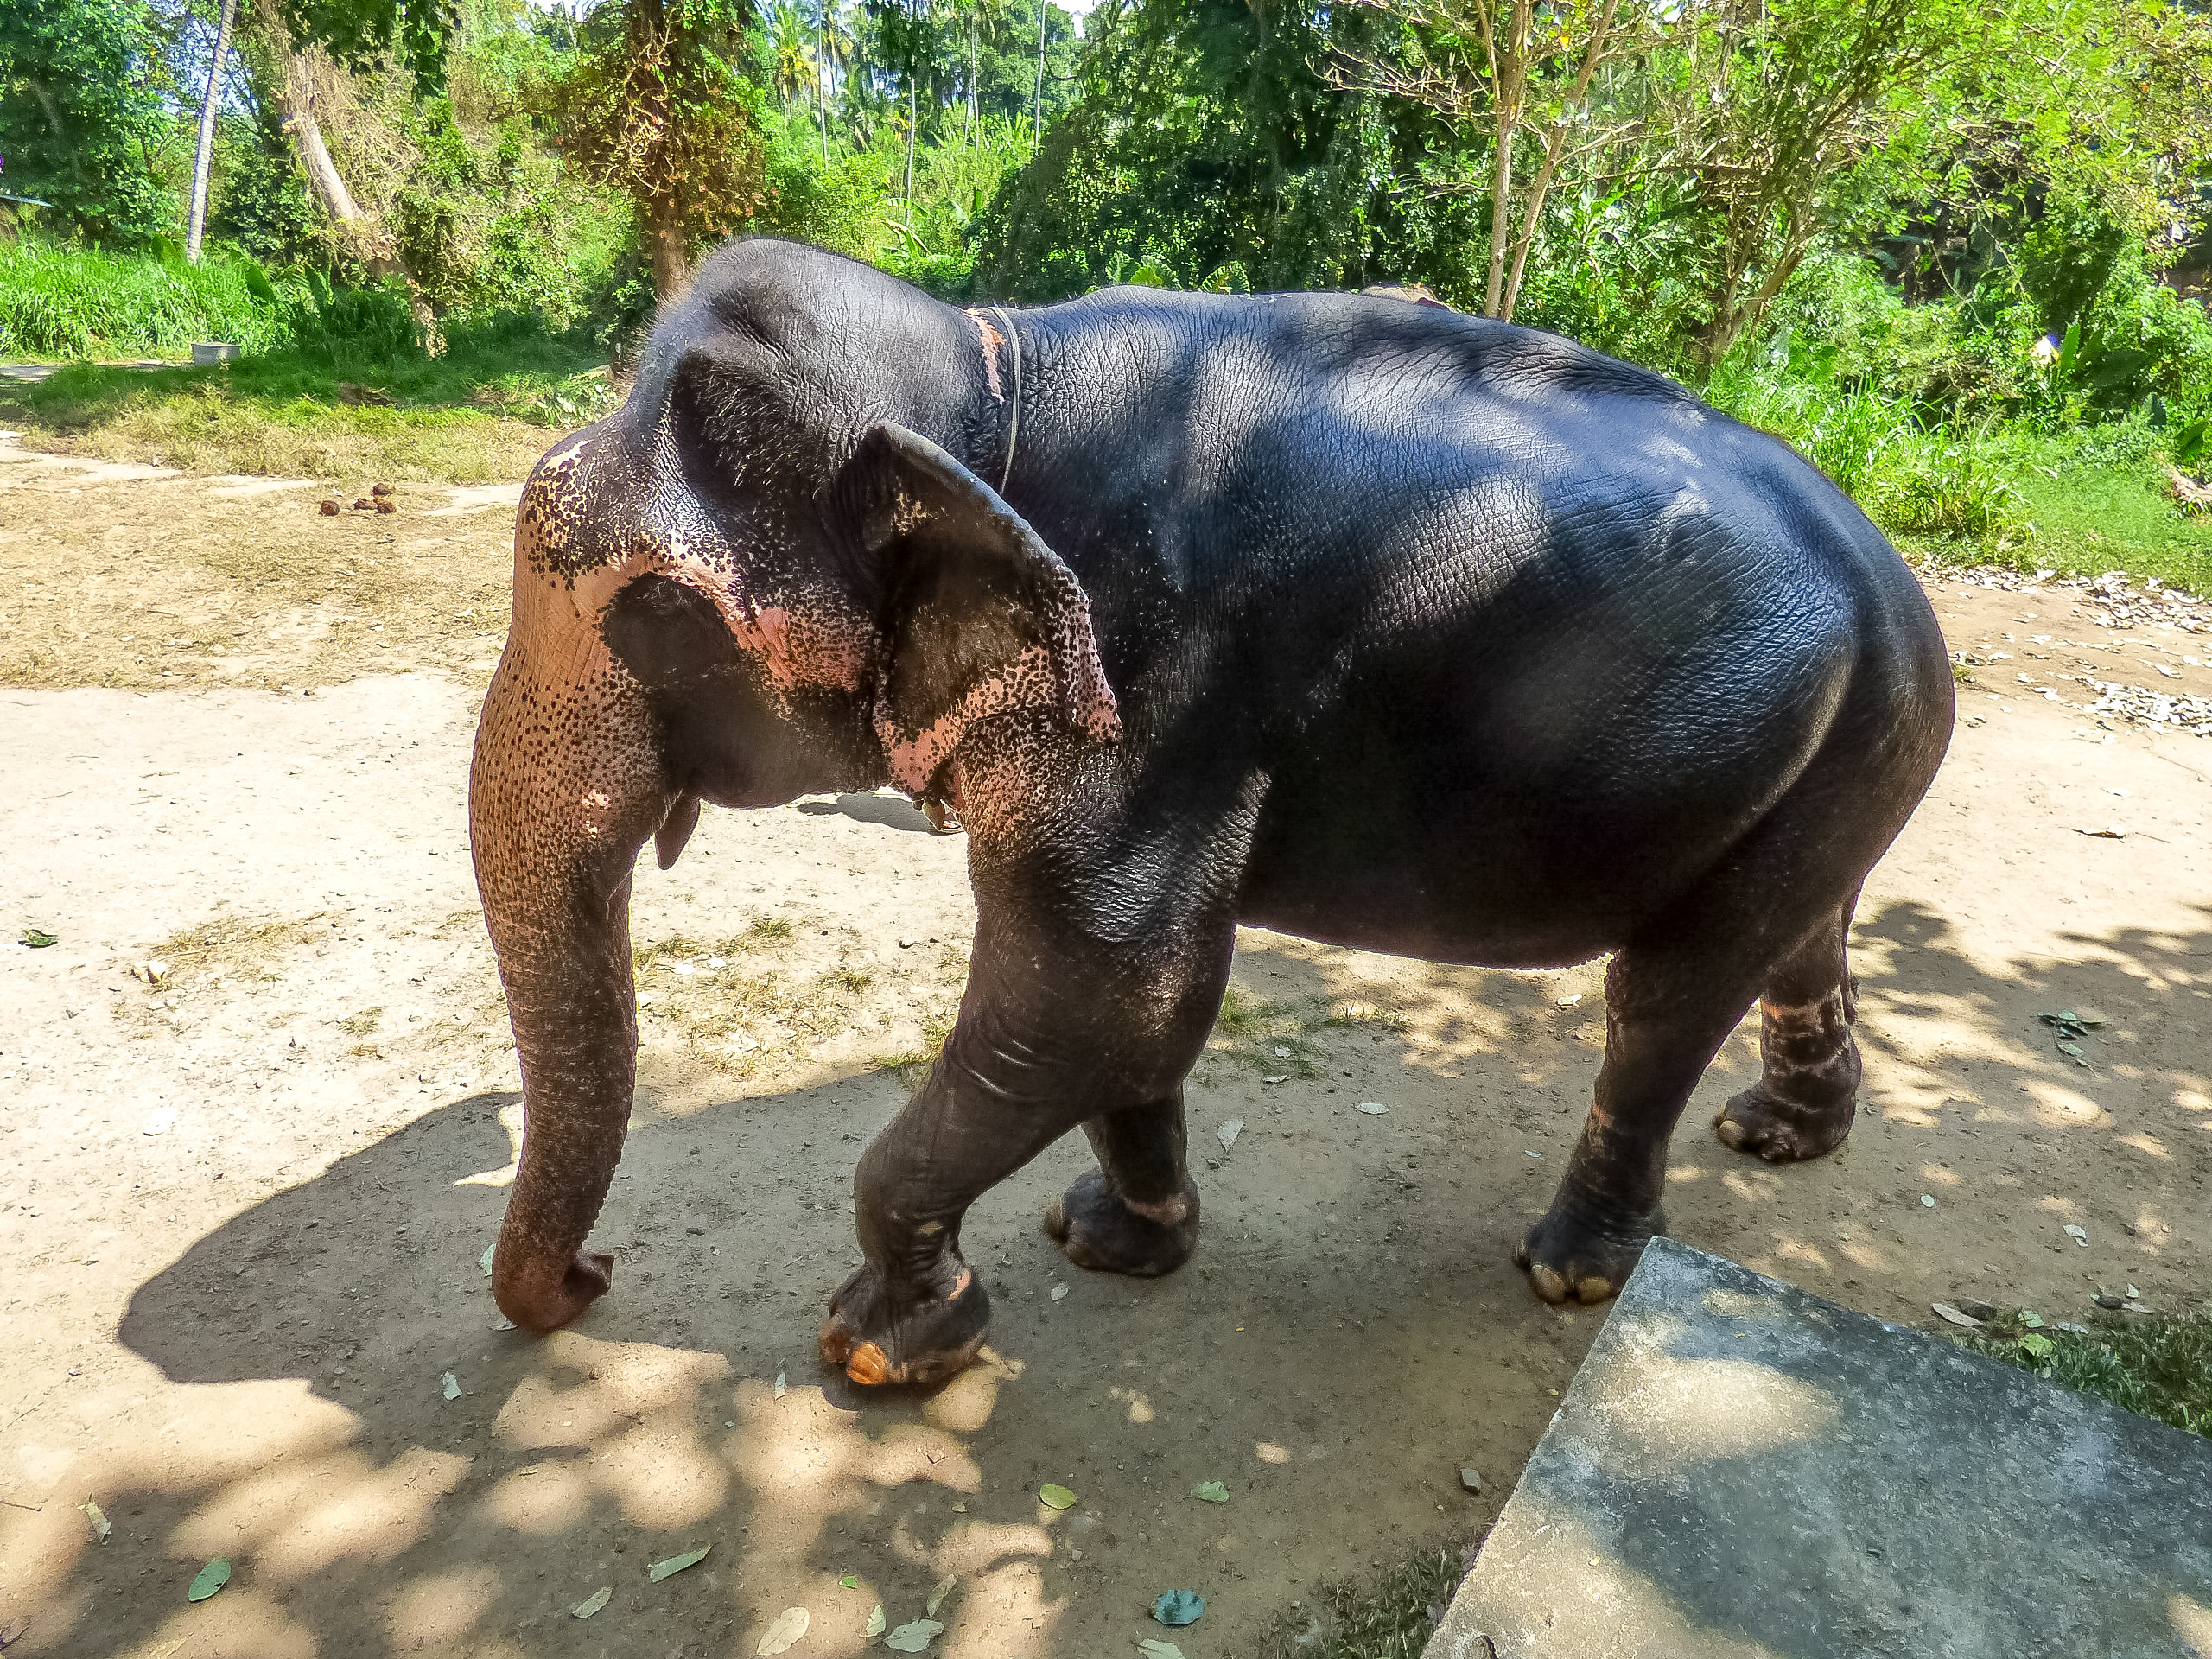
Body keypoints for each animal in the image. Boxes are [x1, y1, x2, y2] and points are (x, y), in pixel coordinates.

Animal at [471, 236, 1955, 1389]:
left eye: (657, 610)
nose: (596, 1272)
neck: (985, 370)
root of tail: (1898, 581)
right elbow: (1130, 1016)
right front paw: (1111, 1242)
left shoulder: (1160, 674)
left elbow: (1105, 981)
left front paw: (883, 1347)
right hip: (1841, 755)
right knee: (1797, 936)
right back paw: (1777, 1136)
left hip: (1823, 745)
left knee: (1664, 997)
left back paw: (1571, 1270)